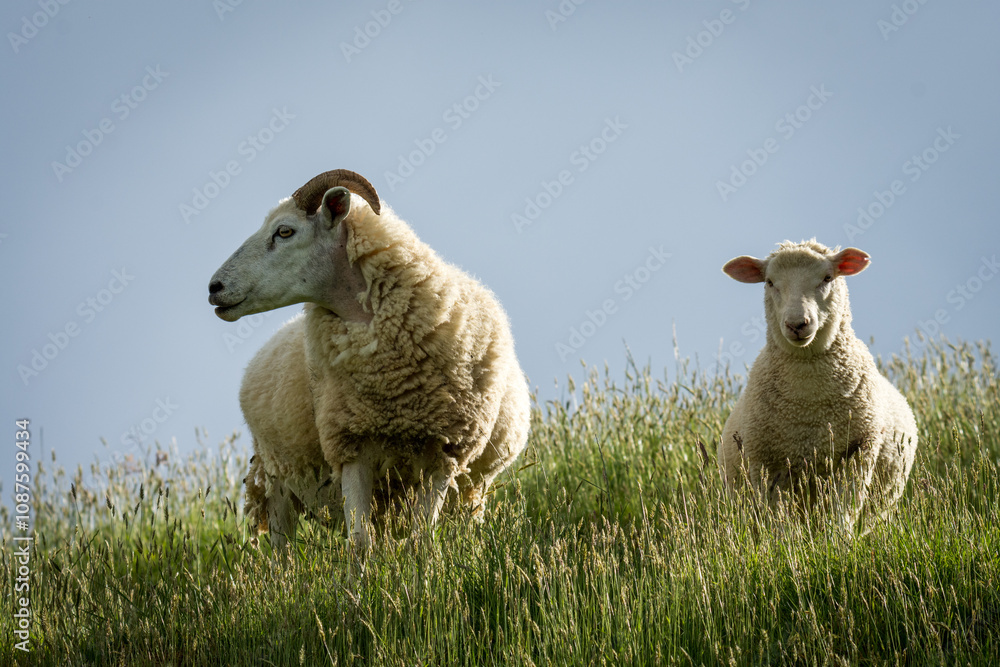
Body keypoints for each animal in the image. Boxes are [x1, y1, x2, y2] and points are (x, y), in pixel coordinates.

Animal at [208, 169, 531, 550]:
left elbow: (421, 539)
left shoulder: (445, 453)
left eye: (284, 231)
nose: (214, 287)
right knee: (281, 548)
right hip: (275, 478)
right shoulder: (350, 445)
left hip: (471, 490)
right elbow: (361, 541)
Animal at [718, 239, 918, 531]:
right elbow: (780, 522)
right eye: (769, 282)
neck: (808, 405)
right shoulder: (766, 463)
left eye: (827, 278)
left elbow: (842, 512)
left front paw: (838, 539)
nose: (797, 324)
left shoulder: (858, 452)